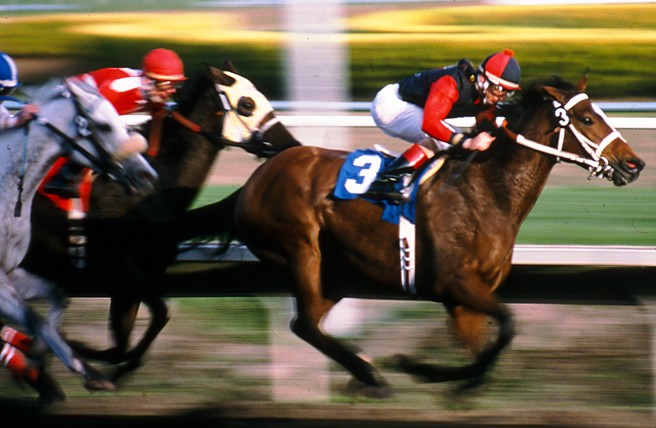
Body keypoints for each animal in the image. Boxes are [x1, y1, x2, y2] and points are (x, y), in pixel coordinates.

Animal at [0, 77, 156, 402]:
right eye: (104, 126)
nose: (147, 175)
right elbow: (34, 319)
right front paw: (90, 373)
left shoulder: (12, 272)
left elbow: (57, 298)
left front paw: (35, 362)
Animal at [199, 75, 640, 396]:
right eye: (587, 119)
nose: (634, 164)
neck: (486, 191)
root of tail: (255, 180)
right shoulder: (456, 282)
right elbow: (509, 326)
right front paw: (425, 371)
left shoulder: (463, 299)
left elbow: (485, 348)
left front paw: (439, 375)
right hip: (301, 251)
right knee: (305, 324)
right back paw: (370, 377)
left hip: (338, 272)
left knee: (306, 325)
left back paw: (365, 374)